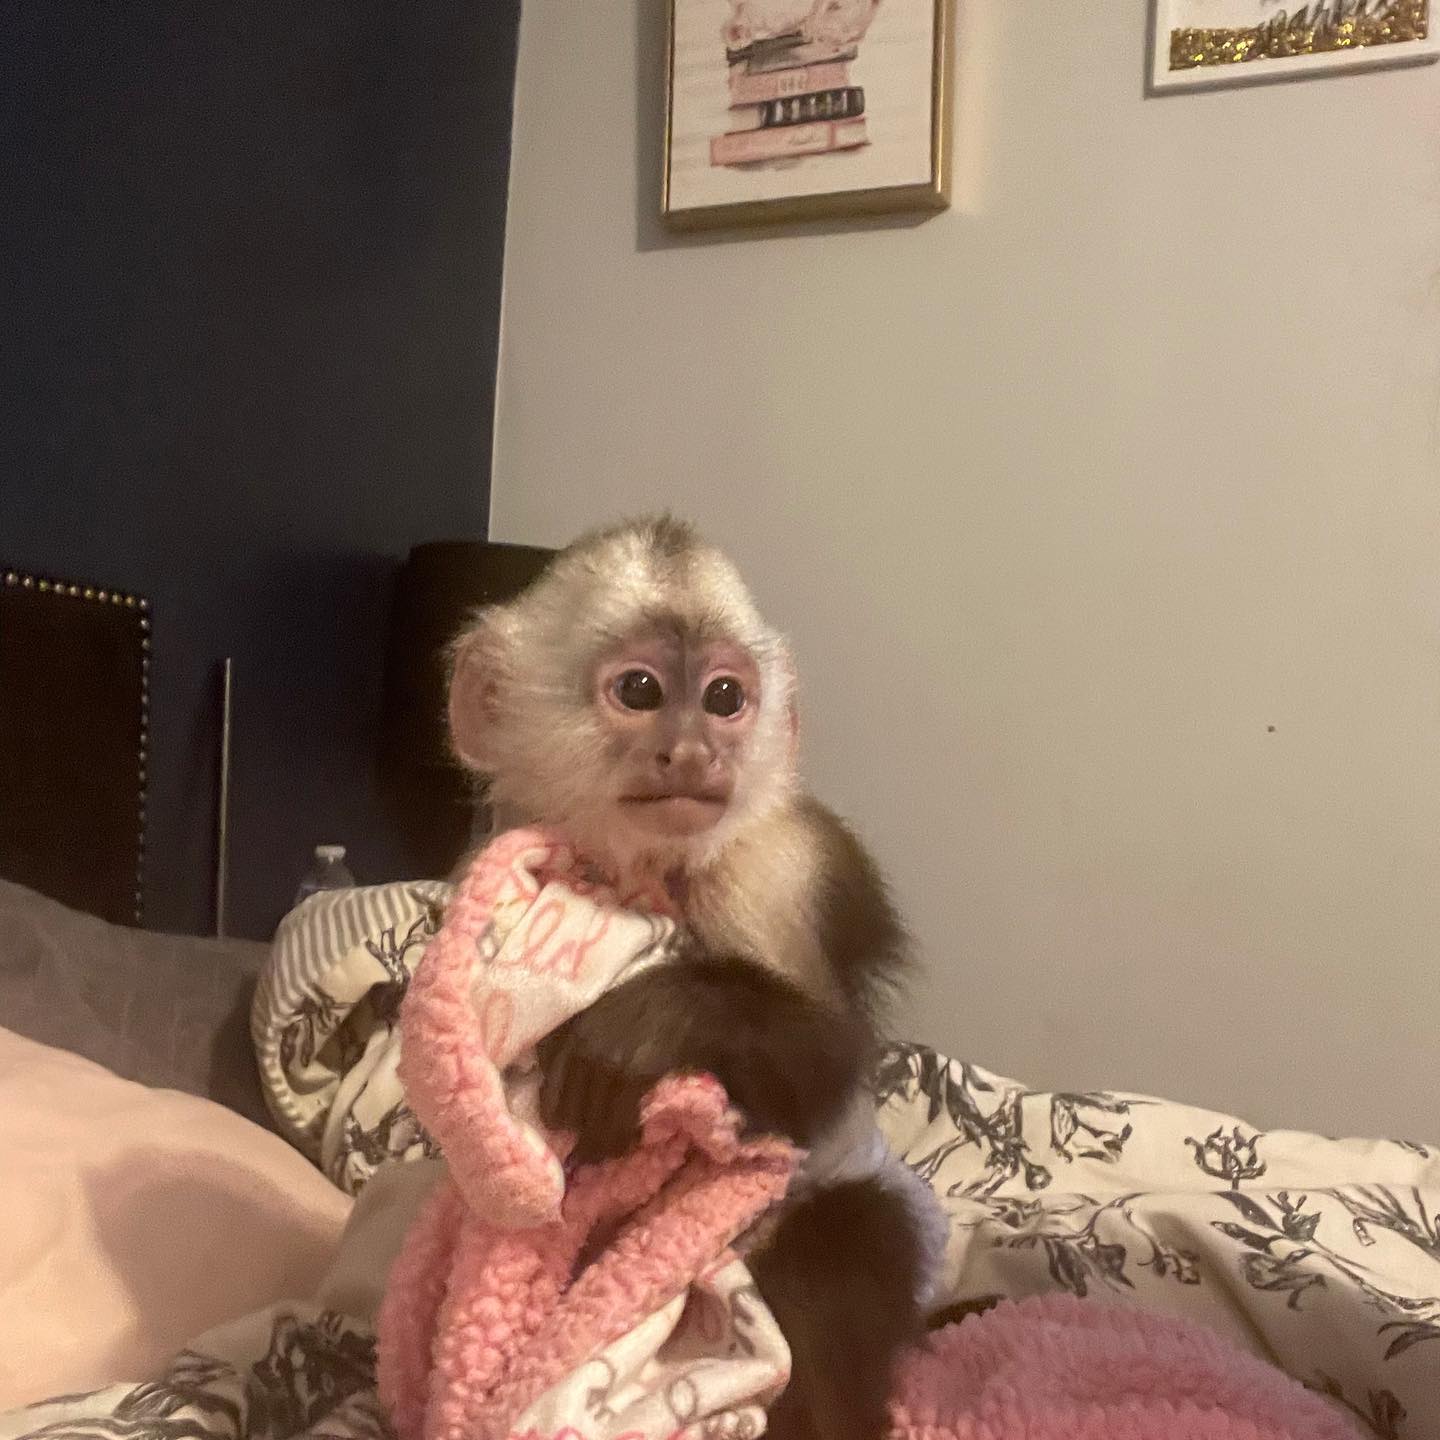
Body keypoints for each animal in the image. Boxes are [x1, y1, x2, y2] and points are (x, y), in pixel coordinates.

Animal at [445, 516, 938, 1440]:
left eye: (723, 699)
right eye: (639, 690)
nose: (696, 752)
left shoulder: (769, 865)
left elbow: (833, 1062)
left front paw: (655, 1023)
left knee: (847, 1240)